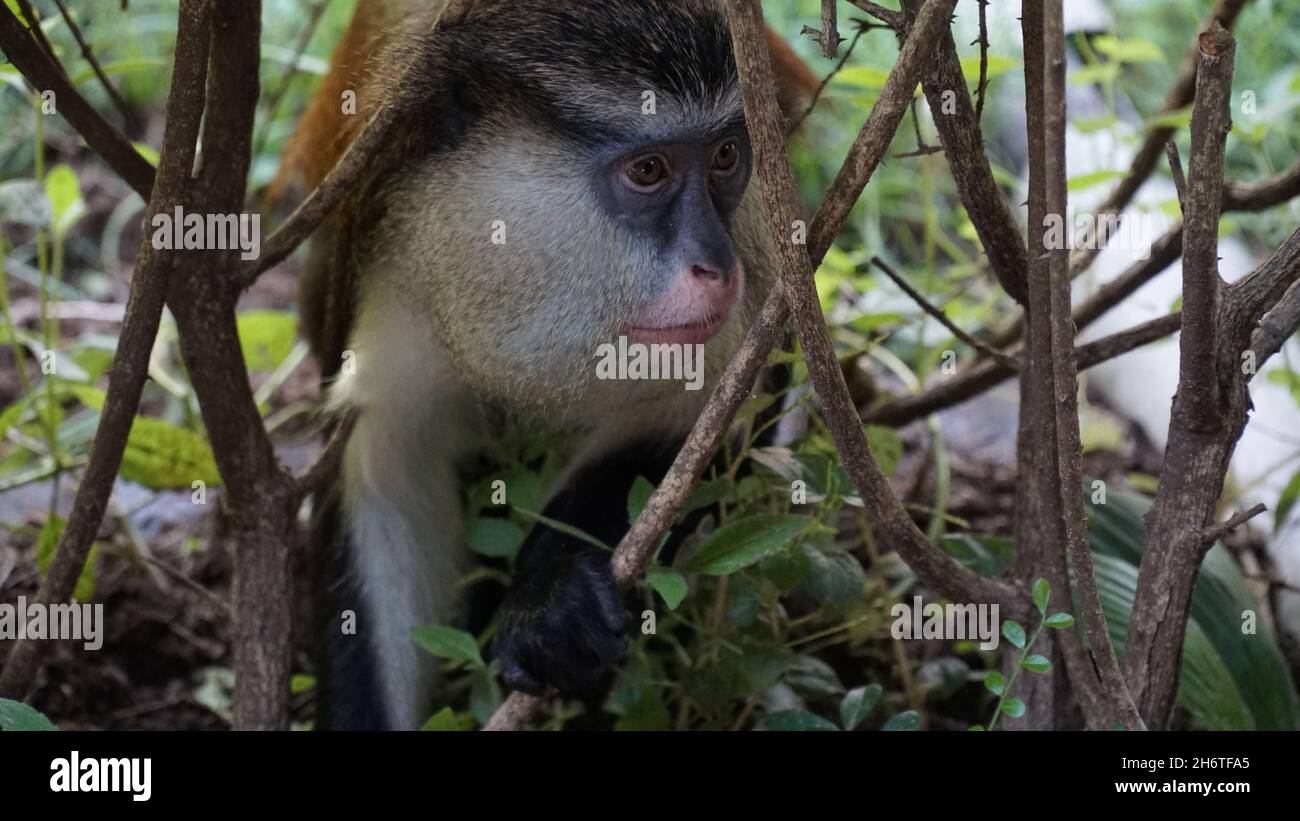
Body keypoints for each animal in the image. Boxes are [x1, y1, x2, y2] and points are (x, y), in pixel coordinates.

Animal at [275, 0, 816, 732]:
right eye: (649, 171)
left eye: (726, 156)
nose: (716, 265)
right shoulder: (396, 281)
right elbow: (388, 477)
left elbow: (706, 414)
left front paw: (553, 597)